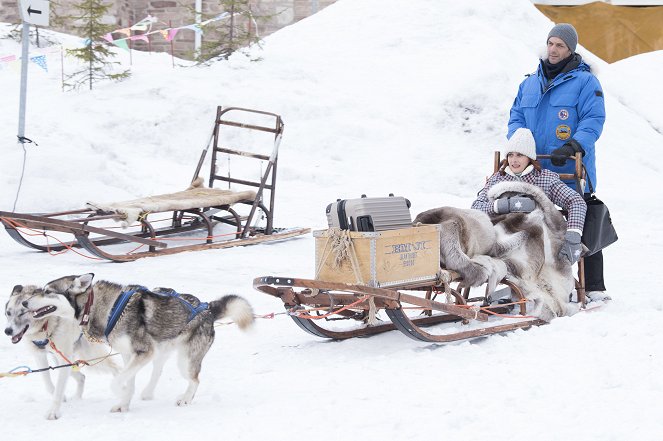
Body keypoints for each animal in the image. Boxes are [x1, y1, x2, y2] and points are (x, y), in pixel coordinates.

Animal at [4, 284, 120, 418]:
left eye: (23, 313)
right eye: (8, 312)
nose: (7, 331)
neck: (45, 326)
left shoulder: (63, 360)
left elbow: (59, 388)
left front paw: (53, 411)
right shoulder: (40, 356)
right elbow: (47, 382)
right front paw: (62, 398)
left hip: (89, 356)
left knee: (116, 368)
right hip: (62, 360)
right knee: (82, 377)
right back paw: (77, 398)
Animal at [42, 274, 254, 410]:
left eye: (47, 291)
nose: (31, 299)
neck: (109, 309)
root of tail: (208, 309)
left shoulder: (143, 352)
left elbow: (117, 382)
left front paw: (122, 394)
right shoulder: (130, 355)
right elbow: (128, 380)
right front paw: (124, 403)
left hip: (184, 361)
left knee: (195, 380)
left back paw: (185, 399)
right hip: (161, 351)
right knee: (158, 371)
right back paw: (148, 392)